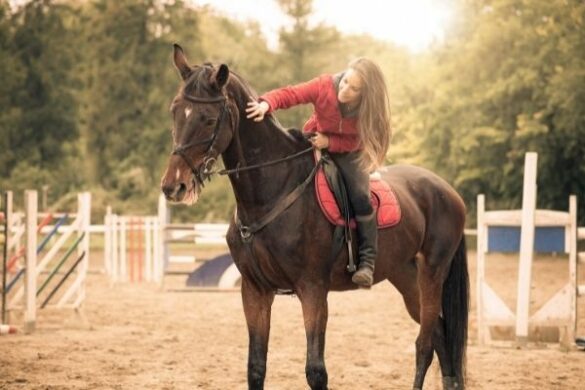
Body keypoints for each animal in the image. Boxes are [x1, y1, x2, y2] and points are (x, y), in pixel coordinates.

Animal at [160, 44, 470, 388]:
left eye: (209, 119)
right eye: (175, 111)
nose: (174, 186)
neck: (274, 191)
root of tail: (447, 191)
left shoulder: (313, 290)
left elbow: (315, 370)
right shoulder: (254, 290)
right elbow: (256, 366)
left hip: (432, 273)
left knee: (425, 344)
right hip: (405, 276)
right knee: (440, 335)